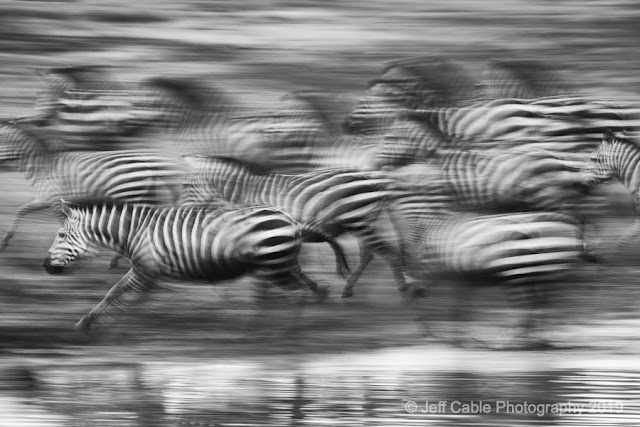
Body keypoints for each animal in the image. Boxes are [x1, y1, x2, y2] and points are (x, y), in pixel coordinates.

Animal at [0, 122, 186, 265]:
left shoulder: (55, 201)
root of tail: (148, 166)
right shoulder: (45, 199)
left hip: (127, 194)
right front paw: (5, 240)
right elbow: (22, 210)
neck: (40, 167)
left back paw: (118, 258)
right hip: (142, 195)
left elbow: (64, 224)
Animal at [43, 200, 329, 333]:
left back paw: (288, 330)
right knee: (308, 287)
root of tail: (291, 219)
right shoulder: (144, 268)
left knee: (297, 294)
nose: (45, 267)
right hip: (281, 262)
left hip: (274, 265)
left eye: (61, 235)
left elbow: (126, 297)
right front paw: (88, 322)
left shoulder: (147, 269)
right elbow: (117, 293)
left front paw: (116, 326)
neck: (132, 233)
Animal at [180, 156, 408, 298]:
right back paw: (348, 290)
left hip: (358, 222)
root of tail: (370, 180)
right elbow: (292, 264)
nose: (182, 212)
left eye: (186, 186)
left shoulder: (266, 231)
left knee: (385, 251)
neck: (244, 193)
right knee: (368, 254)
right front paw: (312, 288)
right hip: (361, 224)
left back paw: (403, 288)